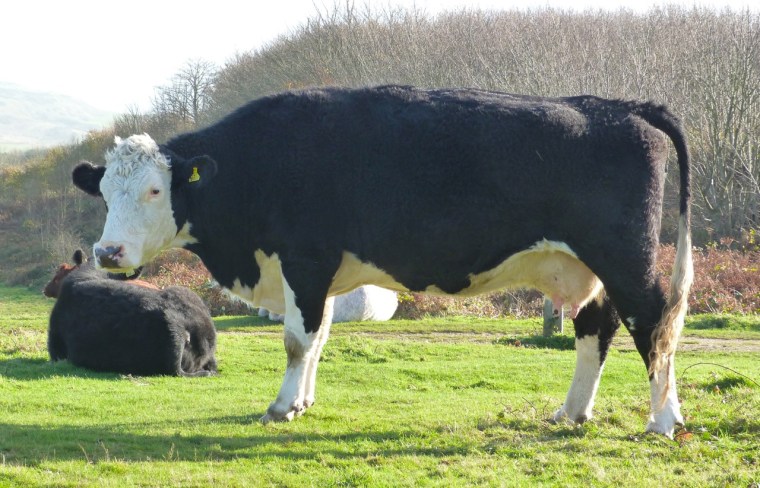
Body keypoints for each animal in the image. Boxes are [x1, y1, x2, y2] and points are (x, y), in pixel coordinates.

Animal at [71, 85, 692, 438]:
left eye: (155, 190)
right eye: (102, 192)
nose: (108, 253)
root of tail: (619, 107)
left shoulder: (306, 259)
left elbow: (296, 339)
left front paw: (281, 407)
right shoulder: (319, 274)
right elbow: (318, 336)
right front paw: (304, 402)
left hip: (626, 259)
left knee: (654, 325)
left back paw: (664, 421)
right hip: (583, 268)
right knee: (597, 328)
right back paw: (572, 413)